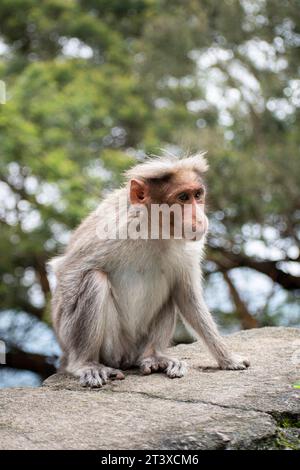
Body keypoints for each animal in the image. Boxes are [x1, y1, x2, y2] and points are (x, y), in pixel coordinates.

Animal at [49, 152, 251, 388]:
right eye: (183, 197)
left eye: (197, 195)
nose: (199, 218)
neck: (155, 229)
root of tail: (127, 357)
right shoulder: (112, 229)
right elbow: (68, 270)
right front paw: (76, 361)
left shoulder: (190, 248)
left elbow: (186, 295)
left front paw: (227, 358)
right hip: (112, 347)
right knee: (94, 278)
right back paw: (85, 362)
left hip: (138, 345)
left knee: (172, 291)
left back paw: (154, 357)